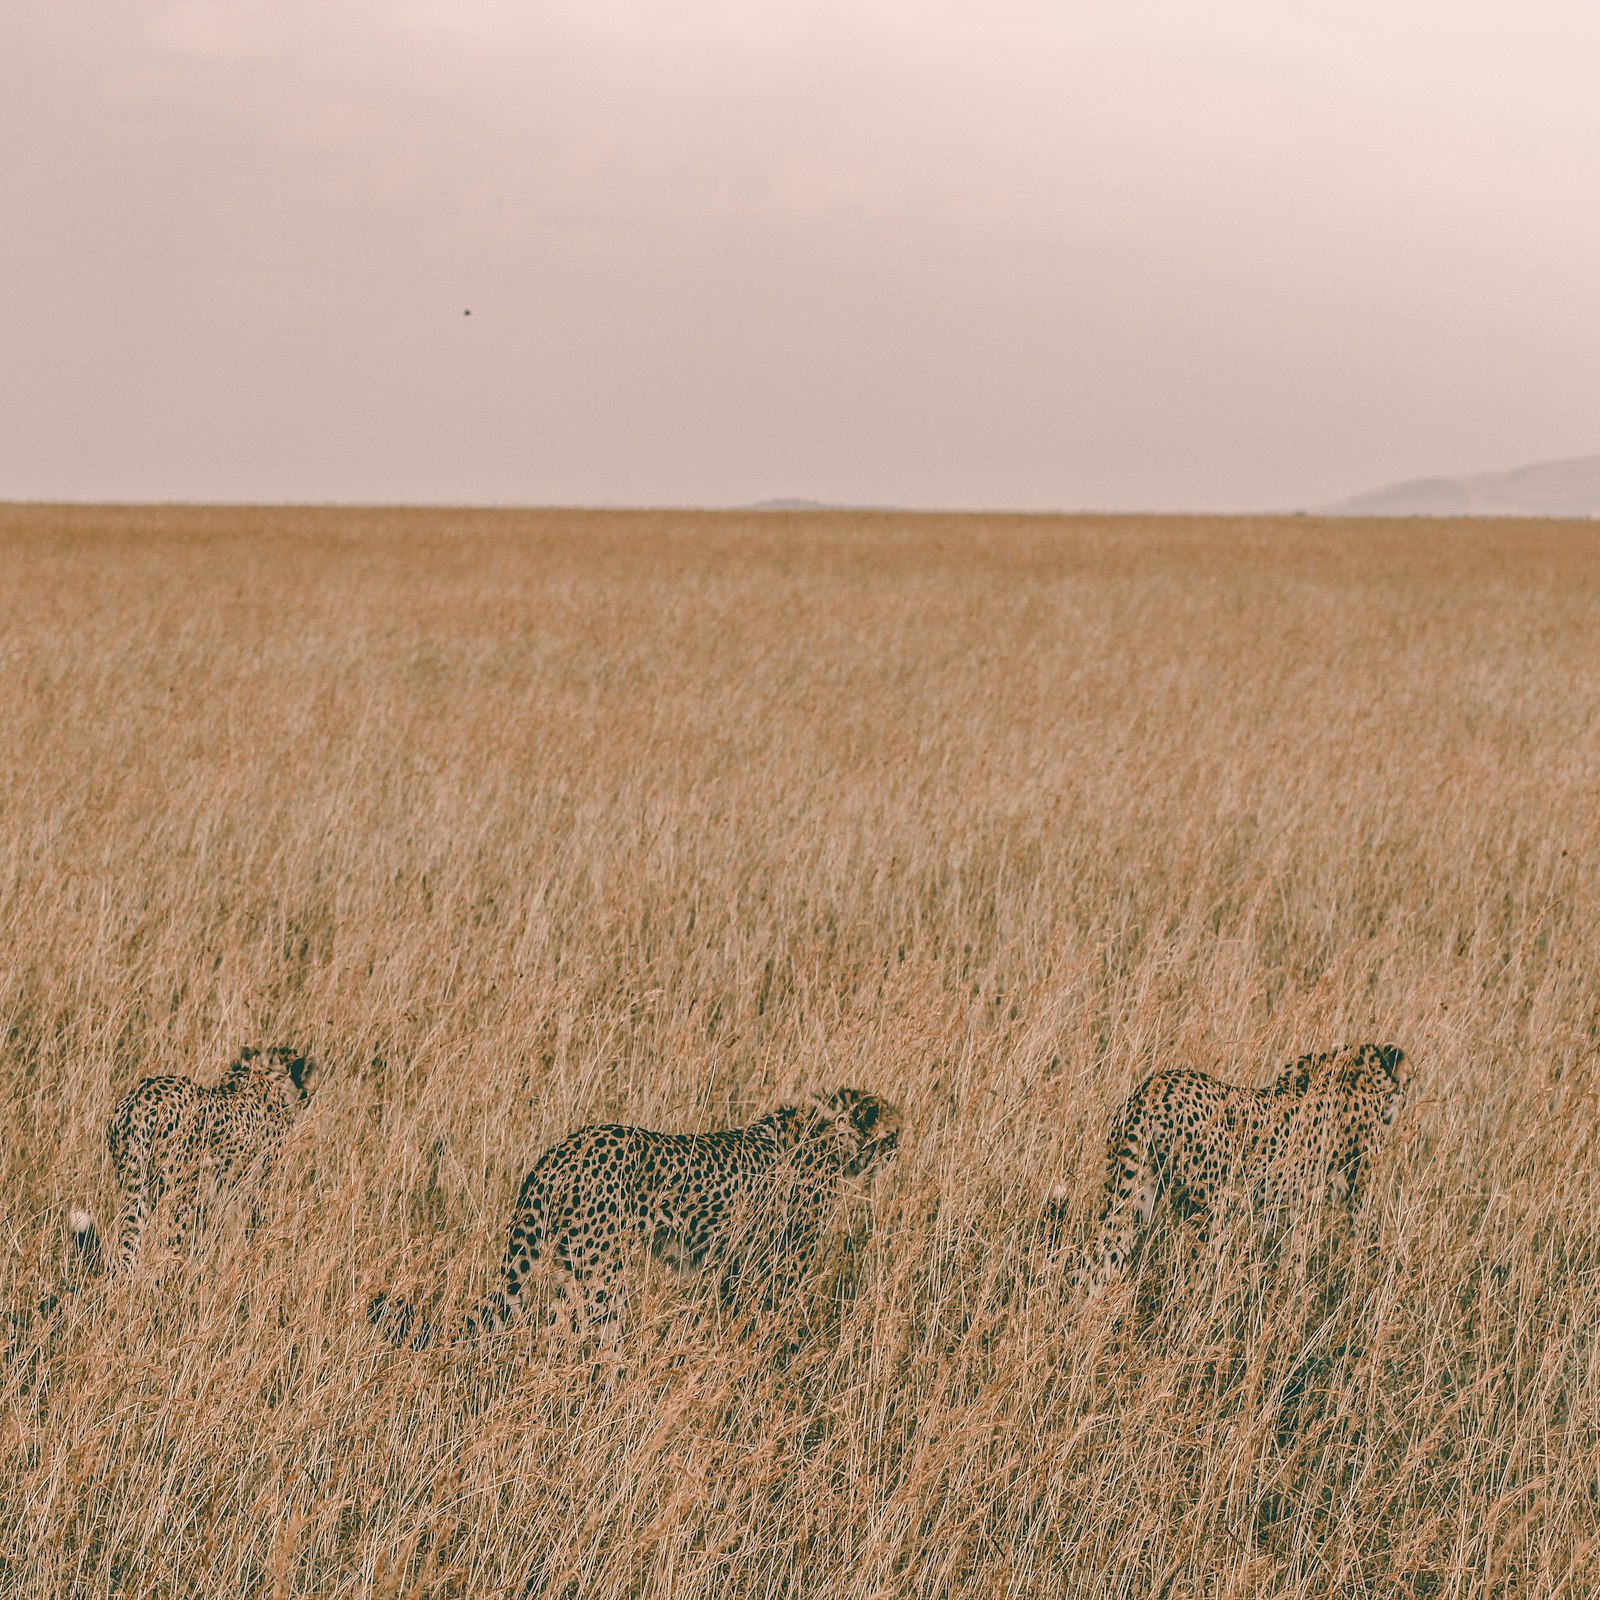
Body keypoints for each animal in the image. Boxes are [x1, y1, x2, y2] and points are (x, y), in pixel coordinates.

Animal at [72, 1043, 316, 1280]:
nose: (311, 1094)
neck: (266, 1075)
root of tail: (139, 1100)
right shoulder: (259, 1186)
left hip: (136, 1183)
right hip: (180, 1195)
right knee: (168, 1247)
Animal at [368, 1088, 908, 1350]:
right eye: (894, 1133)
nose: (899, 1154)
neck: (831, 1133)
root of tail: (564, 1148)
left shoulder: (736, 1266)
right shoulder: (783, 1264)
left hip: (569, 1268)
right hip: (600, 1278)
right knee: (580, 1337)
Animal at [1075, 1043, 1414, 1292]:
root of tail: (1156, 1085)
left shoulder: (1292, 1202)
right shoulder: (1342, 1194)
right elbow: (1353, 1239)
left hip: (1133, 1196)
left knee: (1096, 1260)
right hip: (1209, 1212)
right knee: (1192, 1279)